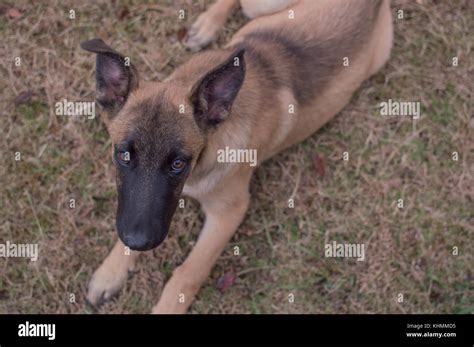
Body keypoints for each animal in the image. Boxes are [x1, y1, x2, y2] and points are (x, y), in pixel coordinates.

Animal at [81, 0, 392, 316]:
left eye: (179, 164)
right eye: (124, 155)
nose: (140, 242)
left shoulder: (228, 212)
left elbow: (188, 272)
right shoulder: (135, 206)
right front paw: (111, 272)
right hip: (259, 11)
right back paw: (207, 26)